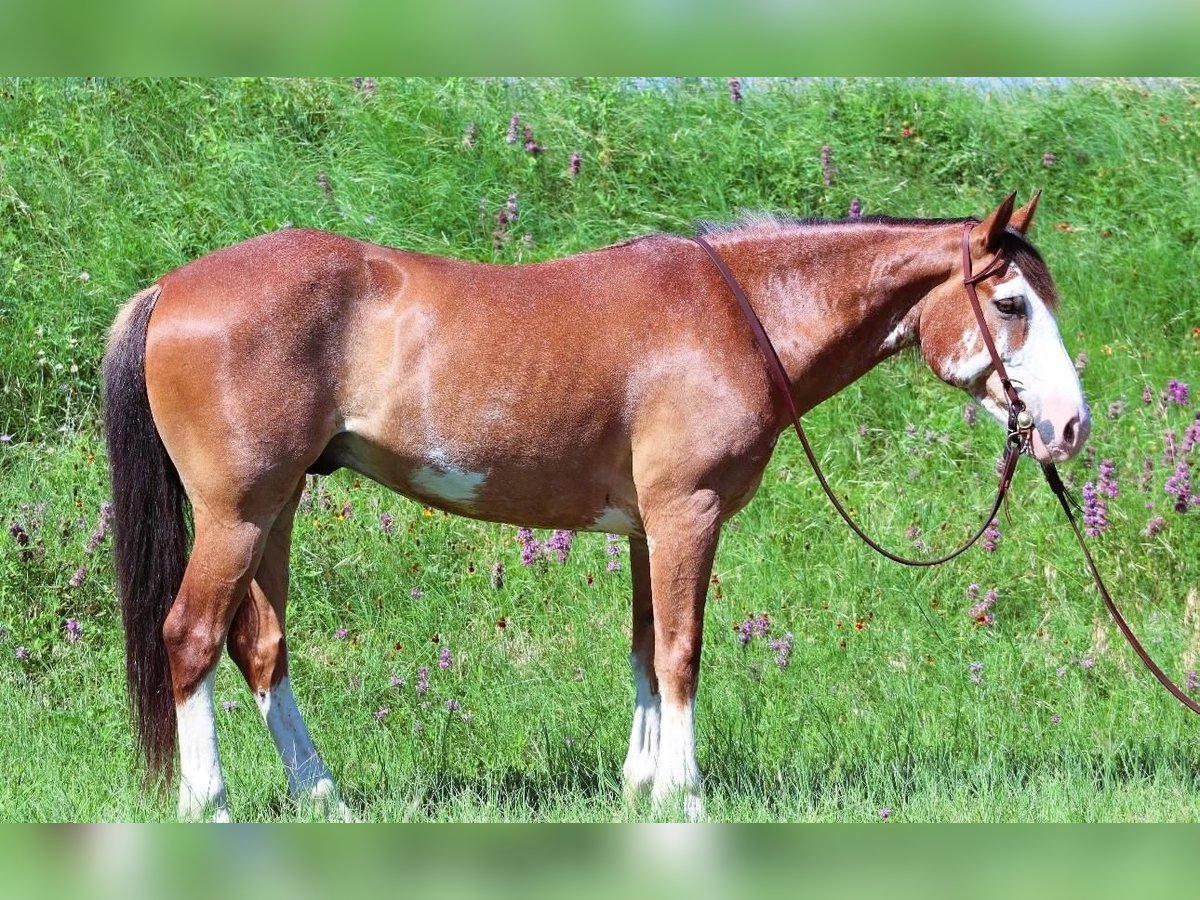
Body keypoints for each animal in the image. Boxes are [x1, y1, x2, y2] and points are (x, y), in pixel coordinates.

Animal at [105, 192, 1089, 825]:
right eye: (1009, 302)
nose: (1069, 427)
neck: (739, 316)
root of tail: (172, 288)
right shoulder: (689, 513)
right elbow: (684, 653)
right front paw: (686, 795)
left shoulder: (651, 531)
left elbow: (647, 654)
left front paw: (642, 789)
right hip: (237, 513)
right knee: (191, 638)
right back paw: (211, 806)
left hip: (276, 511)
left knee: (260, 649)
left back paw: (323, 799)